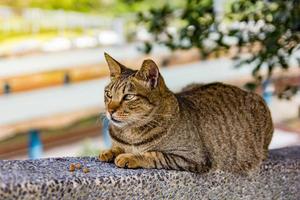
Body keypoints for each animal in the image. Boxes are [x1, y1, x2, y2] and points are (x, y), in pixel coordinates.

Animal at [99, 53, 274, 173]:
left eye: (128, 97)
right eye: (108, 94)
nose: (110, 110)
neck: (130, 134)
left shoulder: (192, 157)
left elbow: (154, 154)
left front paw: (130, 156)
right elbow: (117, 146)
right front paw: (110, 151)